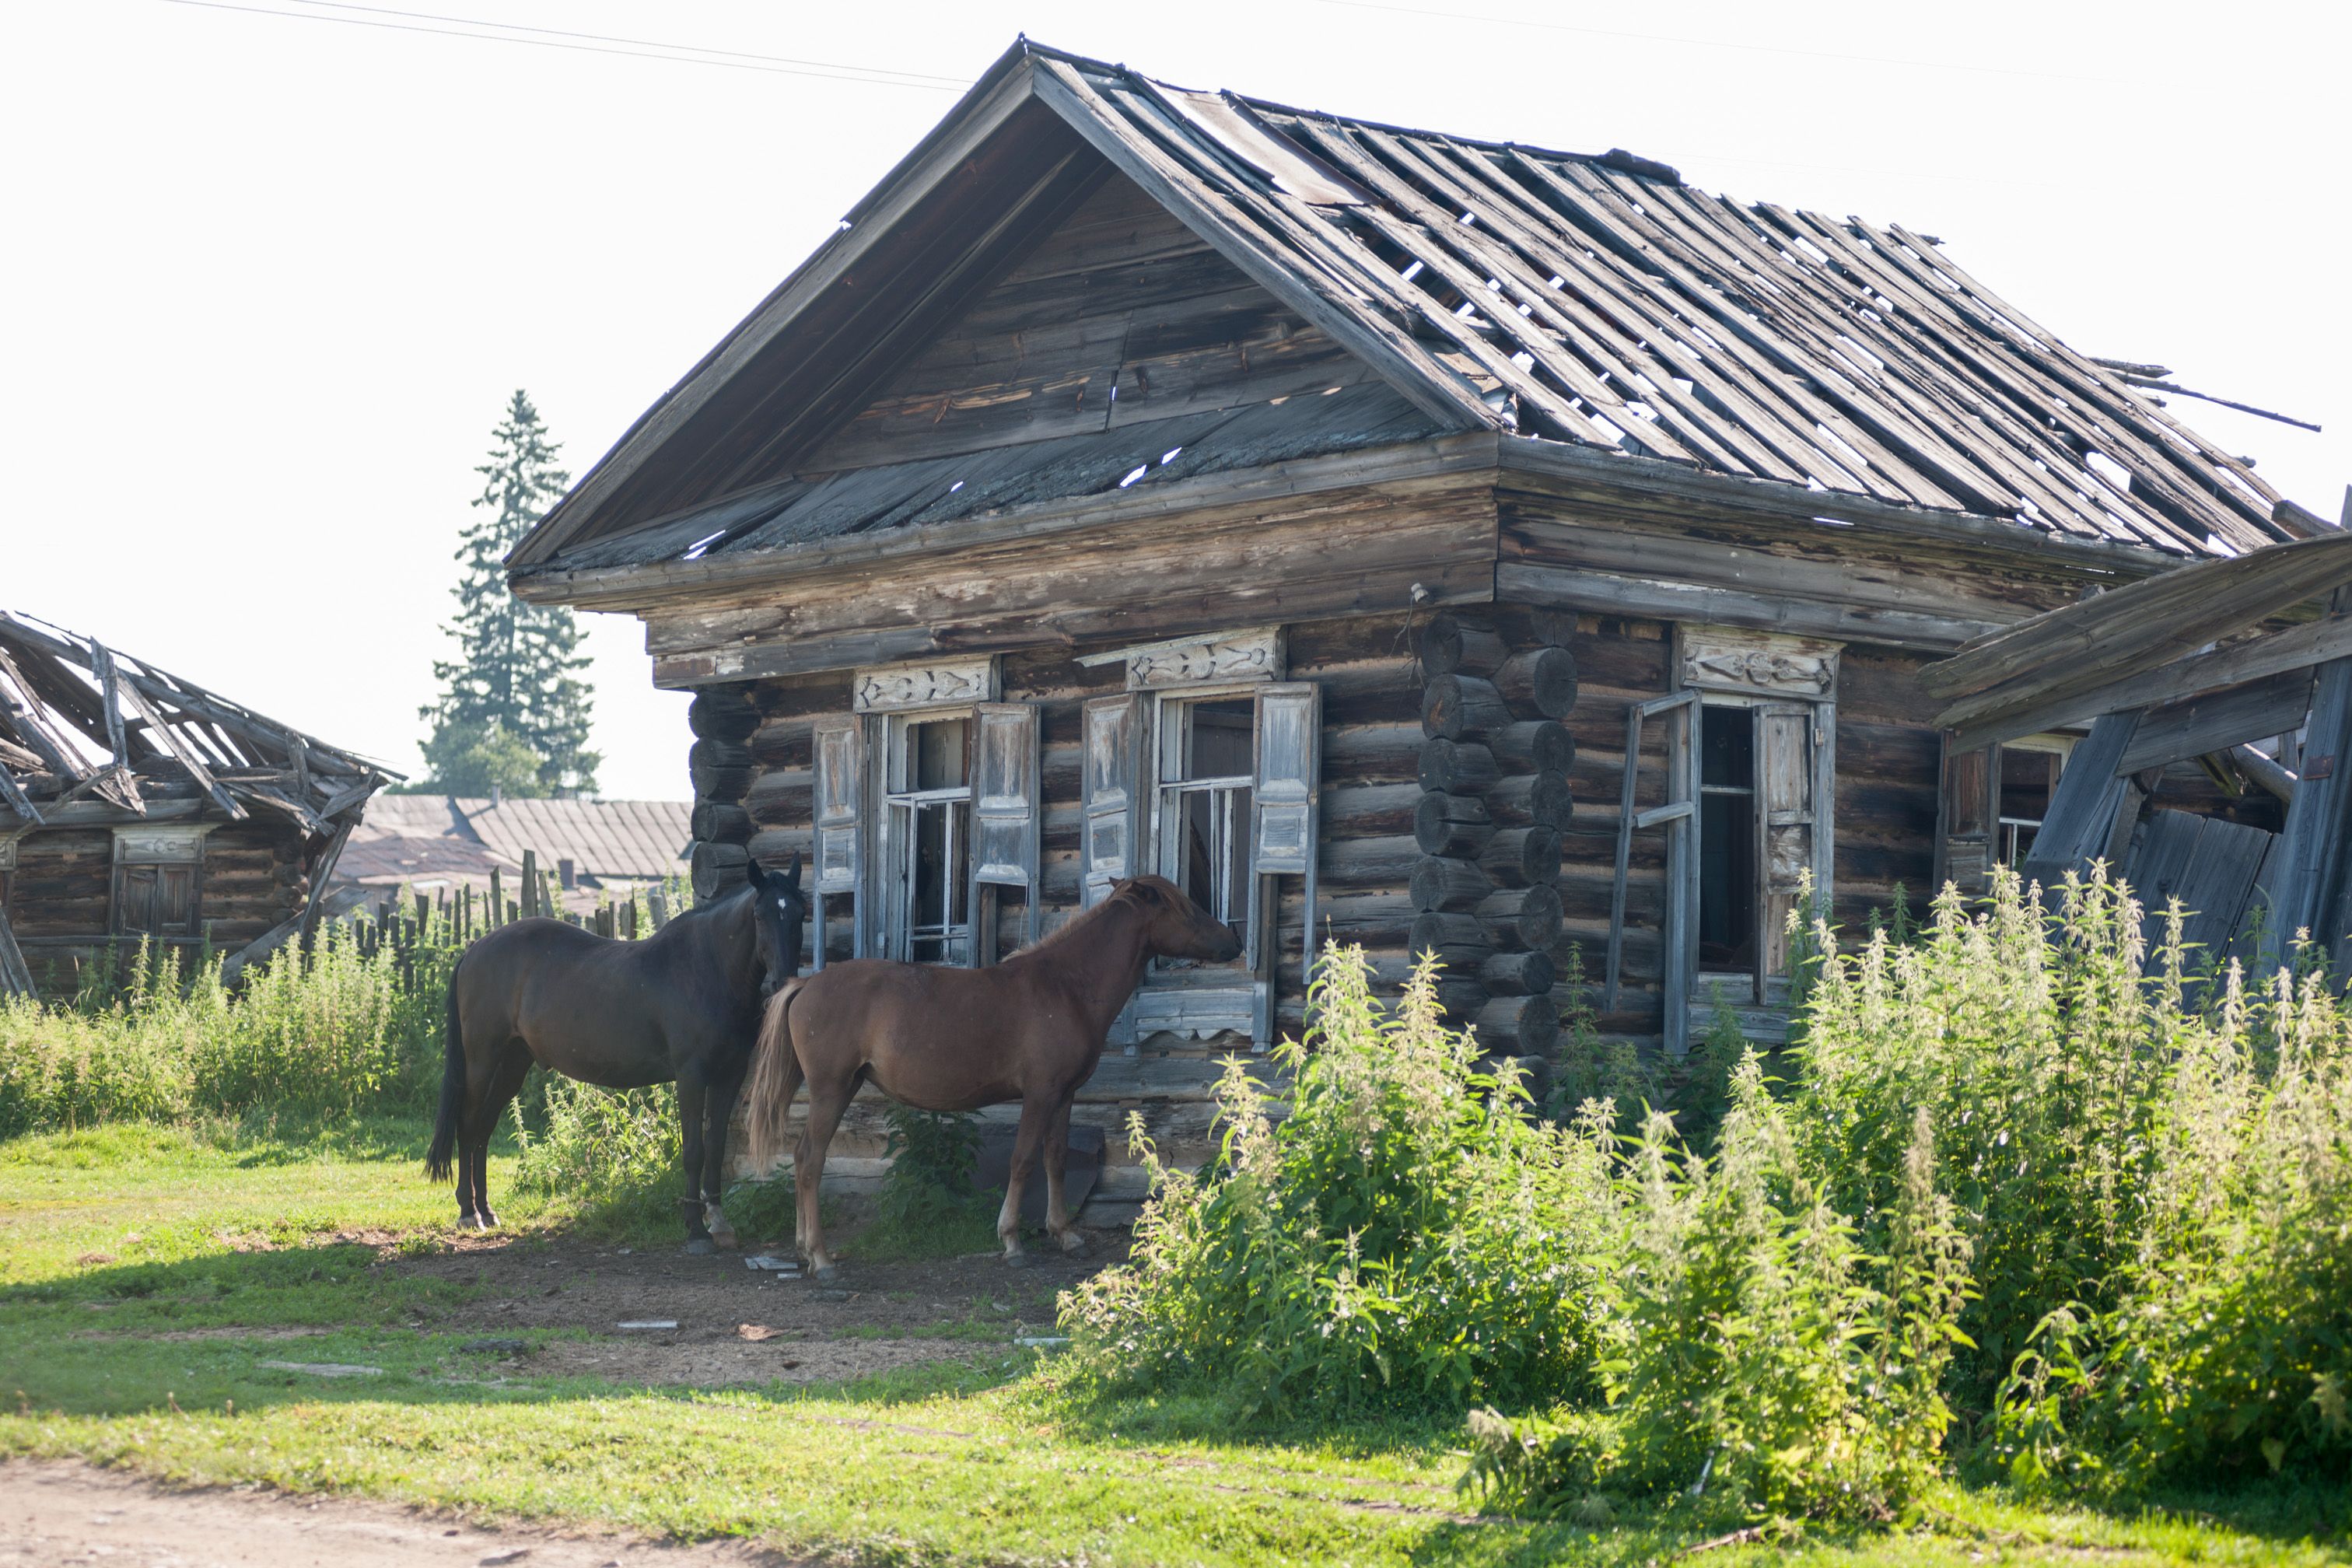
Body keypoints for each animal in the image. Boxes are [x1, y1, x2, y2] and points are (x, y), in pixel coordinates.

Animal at [432, 860, 809, 1250]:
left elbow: (717, 1148)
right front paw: (695, 1228)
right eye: (760, 916)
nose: (781, 983)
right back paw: (468, 1212)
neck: (707, 968)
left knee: (483, 1129)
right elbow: (695, 1151)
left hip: (511, 1064)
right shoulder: (692, 1076)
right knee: (468, 1126)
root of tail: (474, 950)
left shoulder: (729, 1076)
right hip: (482, 1062)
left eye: (801, 913)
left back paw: (486, 1210)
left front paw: (718, 1222)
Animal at [752, 879, 1241, 1279]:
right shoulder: (1039, 1095)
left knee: (802, 1159)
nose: (1233, 941)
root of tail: (806, 985)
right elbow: (1023, 1161)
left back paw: (804, 1251)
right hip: (831, 1091)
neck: (1065, 985)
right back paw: (821, 1259)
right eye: (1186, 909)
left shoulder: (1065, 1095)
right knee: (810, 1161)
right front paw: (1012, 1241)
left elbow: (1056, 1159)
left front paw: (1065, 1234)